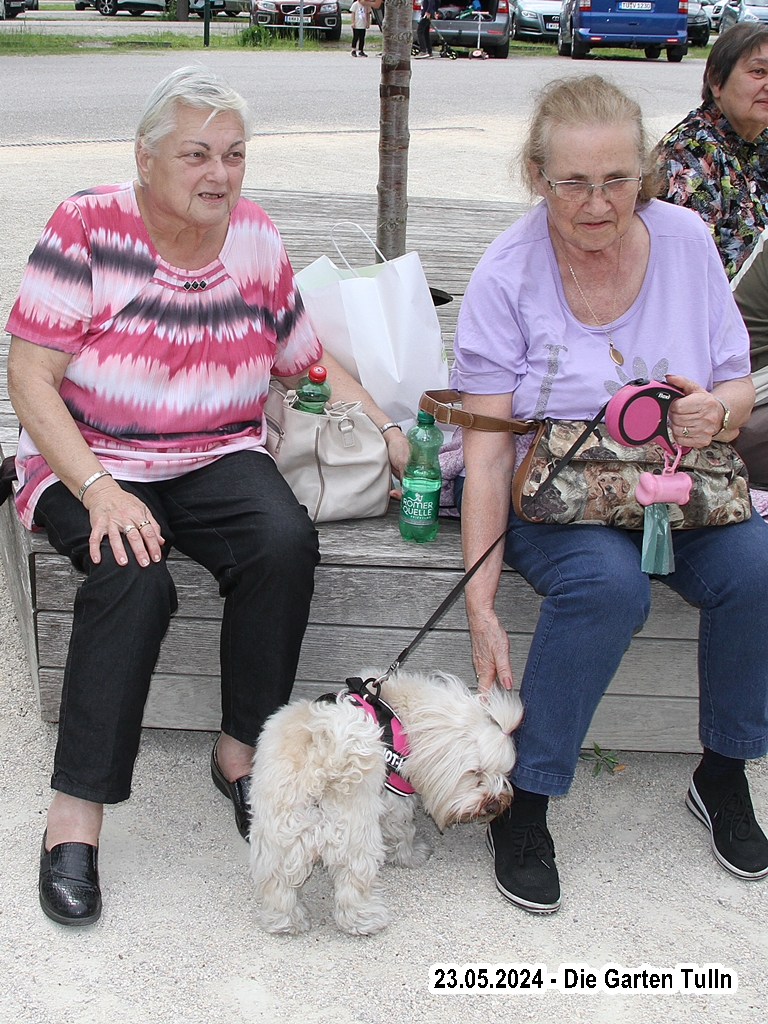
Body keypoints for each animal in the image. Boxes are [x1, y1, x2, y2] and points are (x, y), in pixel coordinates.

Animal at [248, 670, 523, 936]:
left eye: (504, 773)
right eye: (476, 772)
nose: (494, 805)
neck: (408, 715)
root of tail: (321, 762)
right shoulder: (396, 799)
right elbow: (403, 832)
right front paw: (411, 855)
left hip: (279, 838)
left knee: (278, 885)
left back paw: (285, 922)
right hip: (354, 836)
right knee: (353, 883)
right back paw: (365, 921)